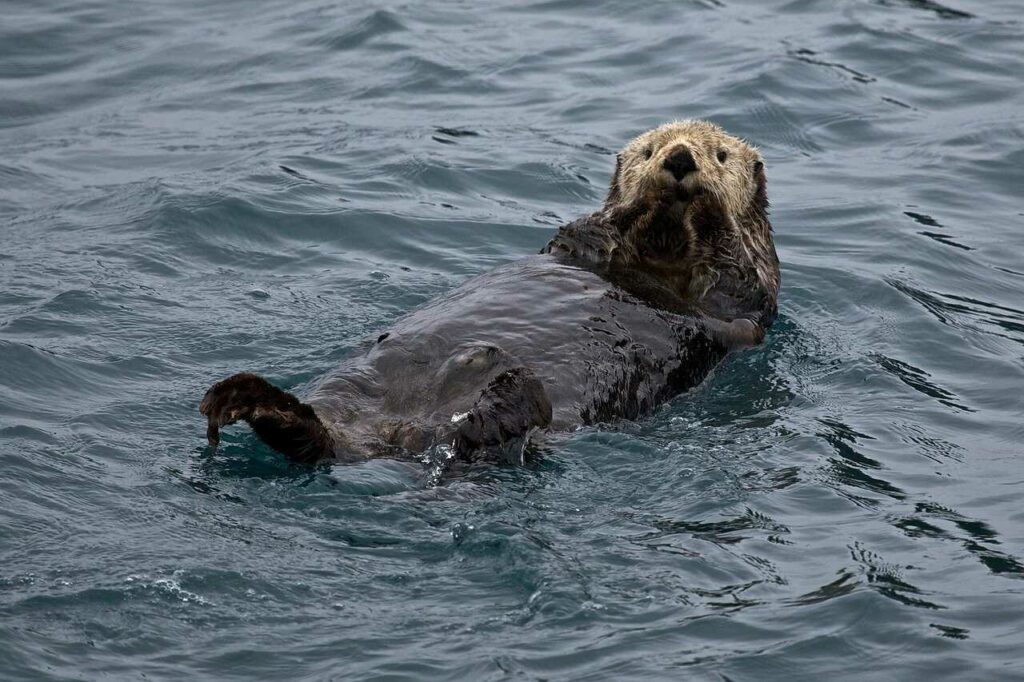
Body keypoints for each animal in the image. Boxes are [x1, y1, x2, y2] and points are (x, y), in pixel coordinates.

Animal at [197, 120, 774, 462]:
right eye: (648, 149)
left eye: (721, 155)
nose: (678, 159)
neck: (658, 255)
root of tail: (401, 437)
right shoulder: (575, 247)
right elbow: (585, 232)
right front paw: (638, 203)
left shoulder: (746, 303)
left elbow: (734, 278)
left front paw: (705, 206)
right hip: (352, 387)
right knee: (318, 438)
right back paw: (250, 401)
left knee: (482, 437)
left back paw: (504, 392)